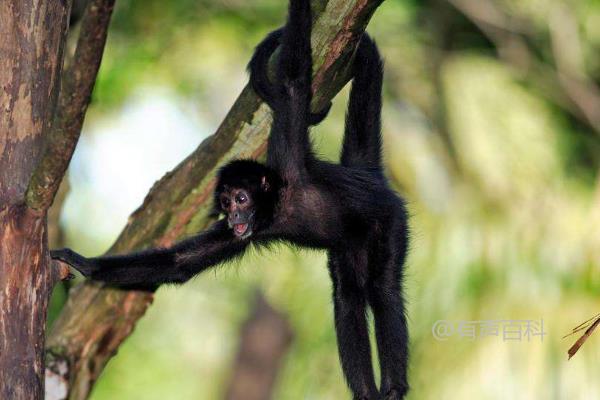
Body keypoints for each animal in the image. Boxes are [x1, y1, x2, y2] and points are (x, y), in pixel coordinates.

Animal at [52, 1, 408, 398]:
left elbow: (293, 82)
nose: (235, 216)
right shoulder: (244, 231)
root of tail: (369, 176)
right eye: (224, 203)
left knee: (383, 288)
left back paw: (394, 387)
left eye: (240, 198)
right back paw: (366, 391)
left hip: (388, 219)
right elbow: (178, 263)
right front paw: (85, 264)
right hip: (349, 244)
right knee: (347, 296)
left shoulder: (289, 158)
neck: (280, 206)